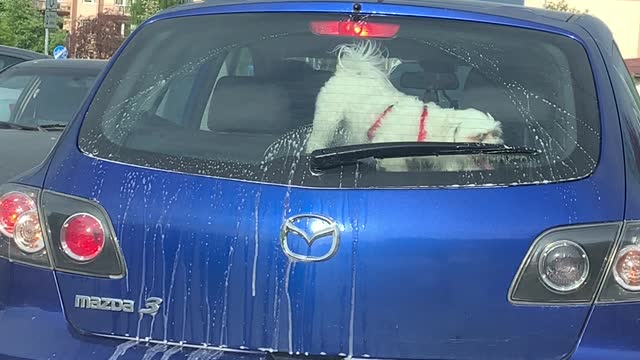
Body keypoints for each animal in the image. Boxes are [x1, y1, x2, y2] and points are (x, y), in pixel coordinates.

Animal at [304, 40, 504, 172]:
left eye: (496, 134)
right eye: (479, 136)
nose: (499, 148)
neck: (427, 127)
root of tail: (349, 71)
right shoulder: (392, 157)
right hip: (328, 118)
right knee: (319, 137)